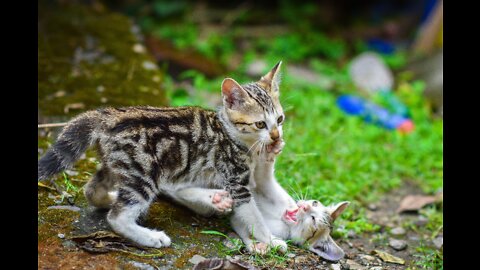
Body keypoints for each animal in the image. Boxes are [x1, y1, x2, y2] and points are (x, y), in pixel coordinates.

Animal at [39, 61, 286, 253]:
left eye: (280, 119)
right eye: (260, 124)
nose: (276, 136)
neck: (231, 134)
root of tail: (108, 116)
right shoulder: (236, 181)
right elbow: (254, 217)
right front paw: (271, 240)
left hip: (120, 164)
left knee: (92, 189)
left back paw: (111, 199)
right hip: (144, 171)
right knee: (117, 217)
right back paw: (150, 236)